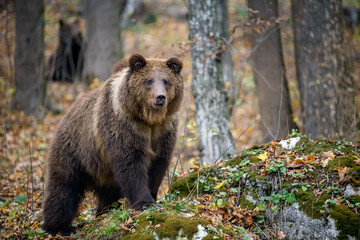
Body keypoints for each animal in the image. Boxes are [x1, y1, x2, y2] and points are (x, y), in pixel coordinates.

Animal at [42, 53, 183, 235]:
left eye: (166, 81)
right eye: (149, 80)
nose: (160, 97)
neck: (149, 119)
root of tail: (66, 115)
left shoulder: (163, 132)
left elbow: (158, 165)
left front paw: (152, 196)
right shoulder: (124, 125)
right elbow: (131, 163)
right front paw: (144, 202)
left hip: (105, 171)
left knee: (108, 193)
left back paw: (104, 211)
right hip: (74, 150)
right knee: (64, 187)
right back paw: (57, 227)